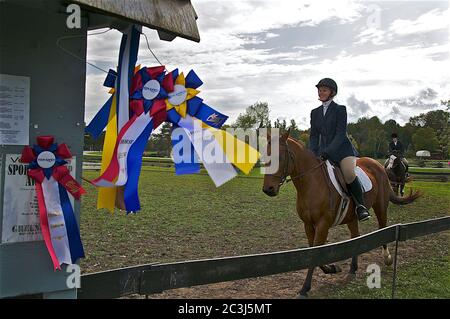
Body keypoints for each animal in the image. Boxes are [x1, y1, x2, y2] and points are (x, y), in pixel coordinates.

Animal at [262, 129, 420, 298]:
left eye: (280, 158)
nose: (268, 189)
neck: (312, 183)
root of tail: (379, 166)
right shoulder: (308, 225)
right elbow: (313, 251)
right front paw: (332, 268)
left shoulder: (323, 225)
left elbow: (315, 253)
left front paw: (304, 289)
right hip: (352, 217)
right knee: (356, 237)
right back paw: (352, 270)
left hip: (381, 207)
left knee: (383, 228)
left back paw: (388, 258)